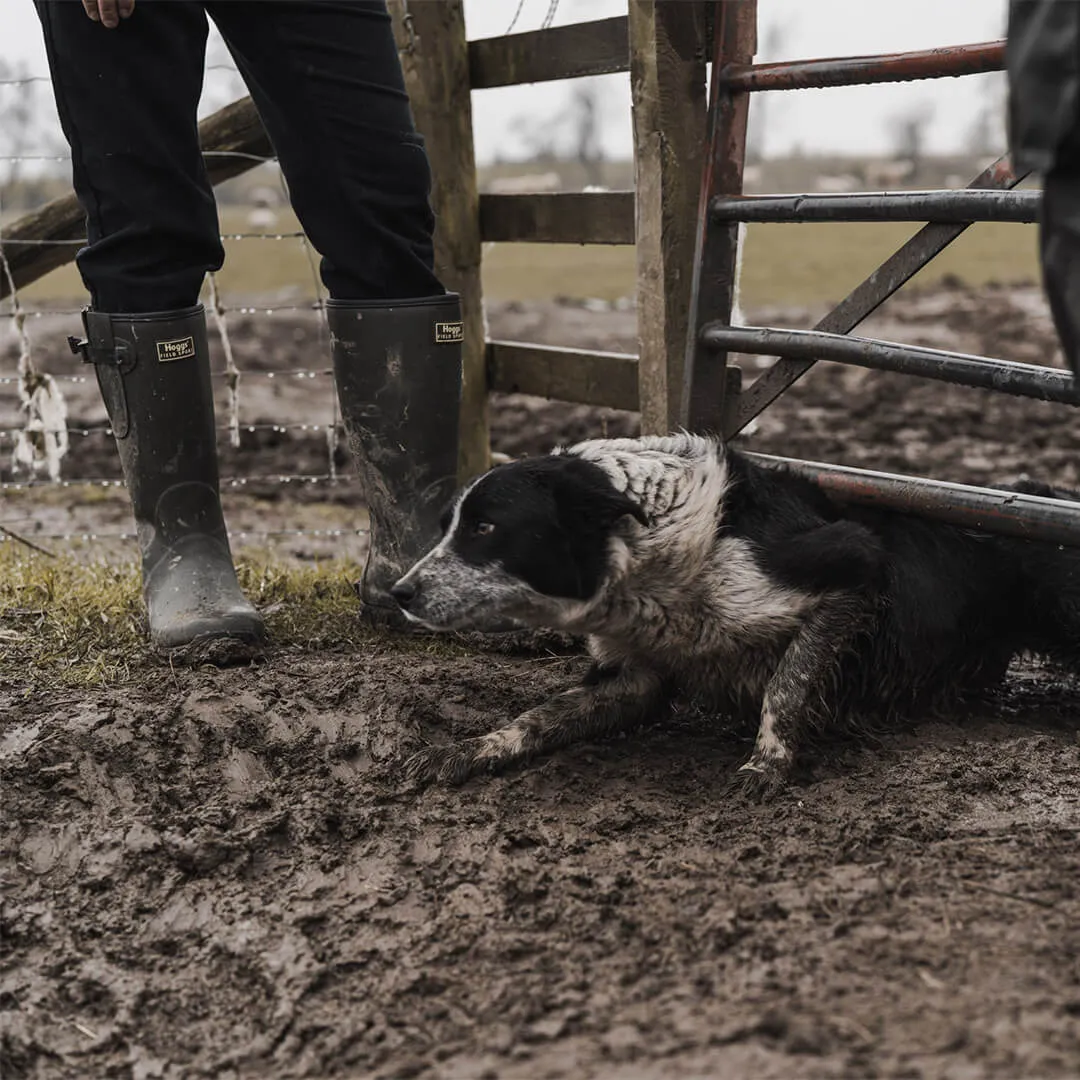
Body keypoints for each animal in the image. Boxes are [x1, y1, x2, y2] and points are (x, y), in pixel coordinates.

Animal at [390, 429, 1080, 794]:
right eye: (450, 524)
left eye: (485, 527)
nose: (399, 594)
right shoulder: (632, 677)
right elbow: (536, 718)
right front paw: (467, 750)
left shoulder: (853, 568)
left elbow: (787, 684)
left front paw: (768, 762)